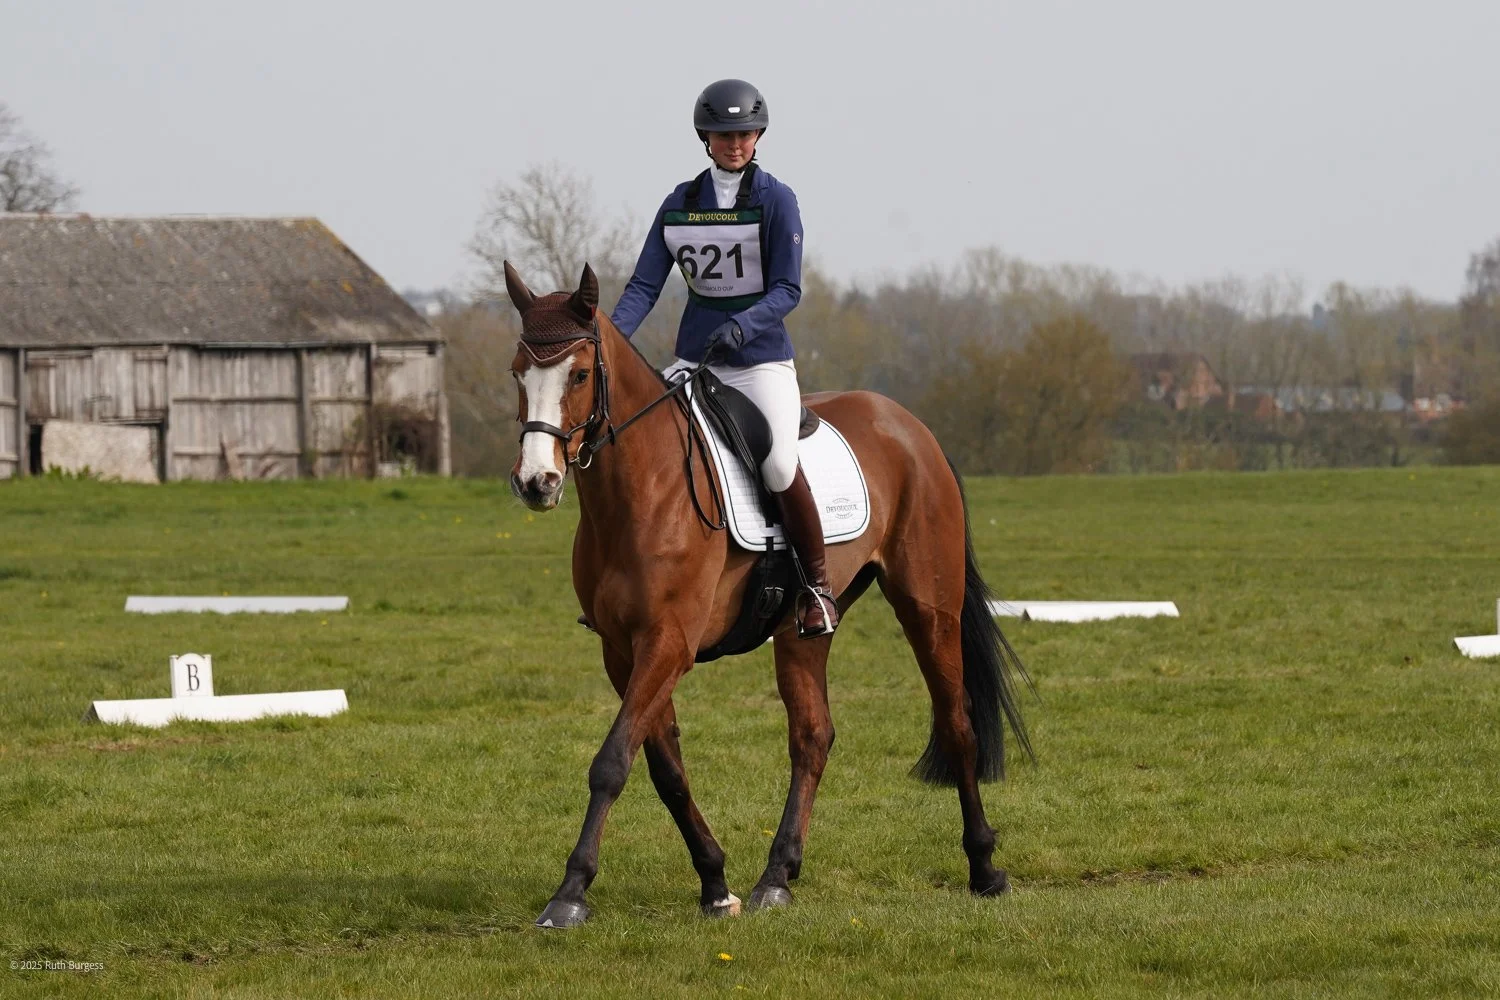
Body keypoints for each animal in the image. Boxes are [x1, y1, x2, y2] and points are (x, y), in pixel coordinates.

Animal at [503, 261, 1031, 928]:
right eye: (517, 373)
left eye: (576, 374)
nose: (536, 482)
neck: (641, 490)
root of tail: (910, 427)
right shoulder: (623, 652)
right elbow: (664, 769)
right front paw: (714, 882)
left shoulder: (667, 645)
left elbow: (612, 762)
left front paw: (570, 892)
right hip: (804, 627)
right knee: (812, 736)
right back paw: (776, 876)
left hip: (928, 606)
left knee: (956, 722)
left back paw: (985, 868)